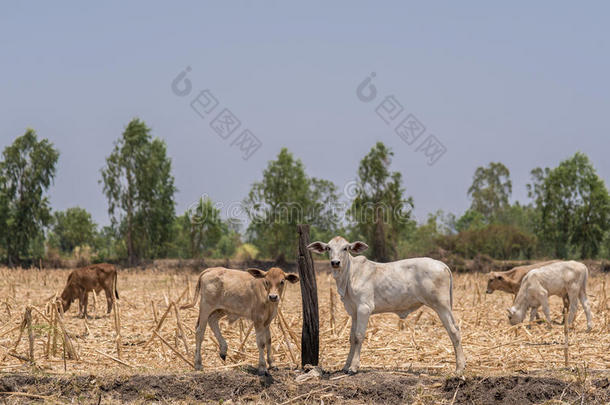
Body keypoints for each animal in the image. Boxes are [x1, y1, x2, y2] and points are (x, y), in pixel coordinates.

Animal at [306, 237, 464, 372]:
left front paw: (354, 367)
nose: (335, 262)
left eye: (345, 248)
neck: (349, 276)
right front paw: (346, 366)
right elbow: (351, 337)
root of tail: (442, 264)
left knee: (454, 331)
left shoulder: (364, 308)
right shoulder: (354, 311)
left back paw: (459, 368)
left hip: (442, 305)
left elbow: (358, 336)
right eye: (328, 248)